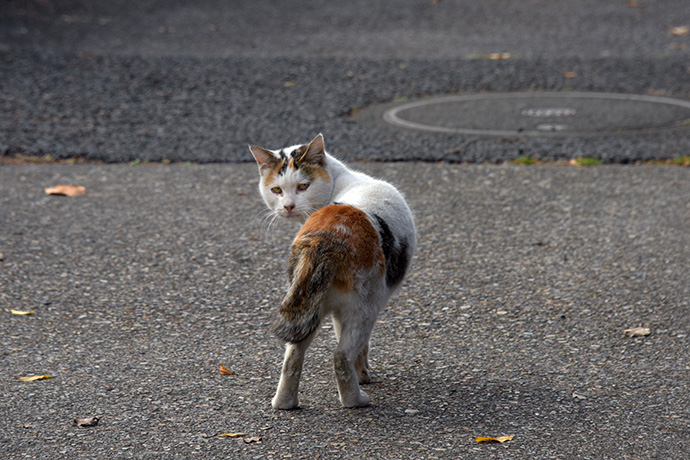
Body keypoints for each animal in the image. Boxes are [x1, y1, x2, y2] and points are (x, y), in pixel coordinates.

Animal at [250, 133, 416, 410]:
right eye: (277, 190)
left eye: (303, 186)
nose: (288, 206)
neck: (341, 181)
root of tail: (326, 237)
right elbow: (361, 347)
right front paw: (364, 376)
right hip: (365, 306)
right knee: (340, 355)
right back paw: (355, 401)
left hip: (307, 304)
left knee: (293, 354)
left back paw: (284, 403)